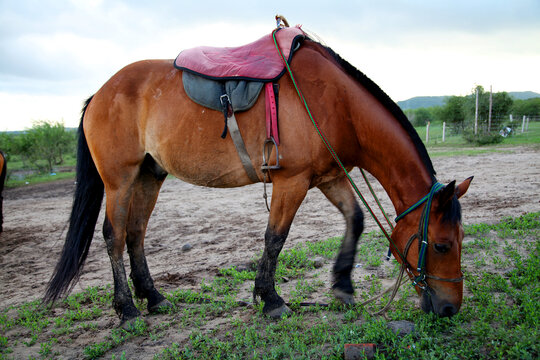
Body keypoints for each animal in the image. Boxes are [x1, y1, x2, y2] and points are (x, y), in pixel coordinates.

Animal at [43, 29, 472, 326]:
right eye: (442, 245)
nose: (450, 308)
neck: (334, 102)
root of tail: (99, 94)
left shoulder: (328, 176)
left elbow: (356, 219)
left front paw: (343, 286)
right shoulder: (292, 182)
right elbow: (275, 238)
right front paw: (271, 300)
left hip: (150, 175)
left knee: (135, 234)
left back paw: (153, 296)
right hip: (120, 180)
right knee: (114, 237)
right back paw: (128, 309)